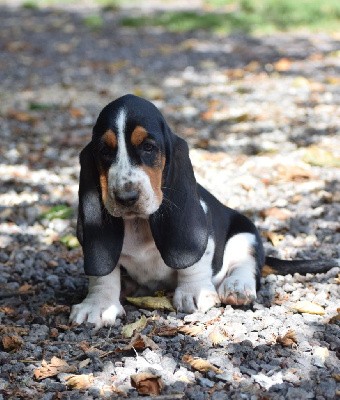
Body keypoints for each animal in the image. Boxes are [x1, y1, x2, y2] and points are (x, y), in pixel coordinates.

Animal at [70, 94, 336, 328]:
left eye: (148, 147)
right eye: (105, 151)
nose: (126, 198)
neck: (138, 223)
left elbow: (196, 262)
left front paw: (193, 292)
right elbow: (104, 274)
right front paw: (98, 305)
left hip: (245, 233)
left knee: (246, 263)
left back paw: (237, 287)